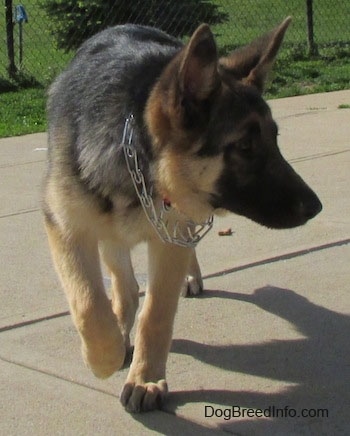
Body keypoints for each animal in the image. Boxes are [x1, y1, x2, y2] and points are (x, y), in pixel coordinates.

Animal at [43, 17, 322, 412]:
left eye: (274, 139)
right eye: (245, 146)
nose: (316, 207)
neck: (137, 155)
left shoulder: (170, 235)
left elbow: (156, 313)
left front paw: (145, 378)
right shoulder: (67, 227)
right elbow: (88, 302)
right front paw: (105, 356)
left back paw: (187, 279)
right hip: (110, 232)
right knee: (123, 285)